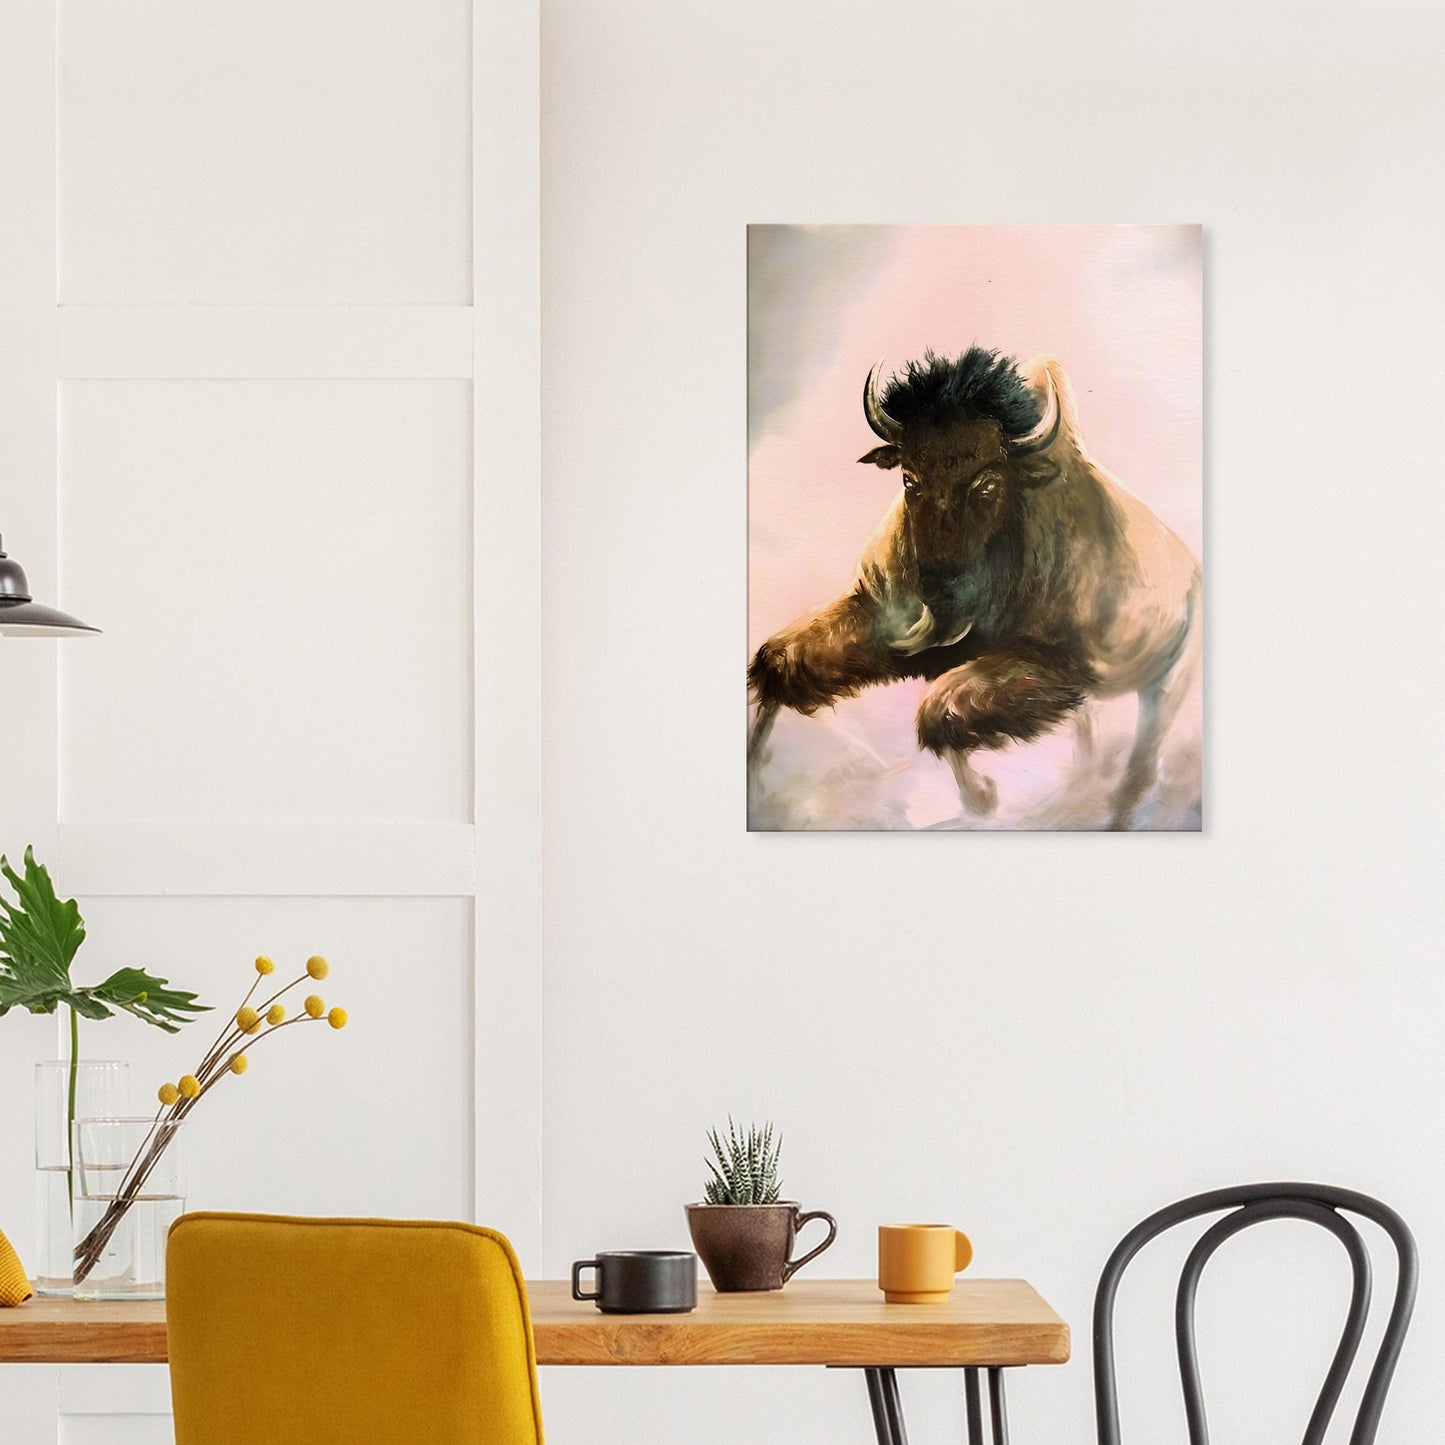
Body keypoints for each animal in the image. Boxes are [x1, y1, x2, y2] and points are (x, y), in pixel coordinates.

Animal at [751, 342, 1202, 832]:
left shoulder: (1056, 667)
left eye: (987, 482)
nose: (937, 587)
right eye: (908, 477)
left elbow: (940, 713)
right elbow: (779, 662)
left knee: (1142, 762)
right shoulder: (877, 615)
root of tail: (1193, 575)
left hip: (1165, 686)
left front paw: (983, 797)